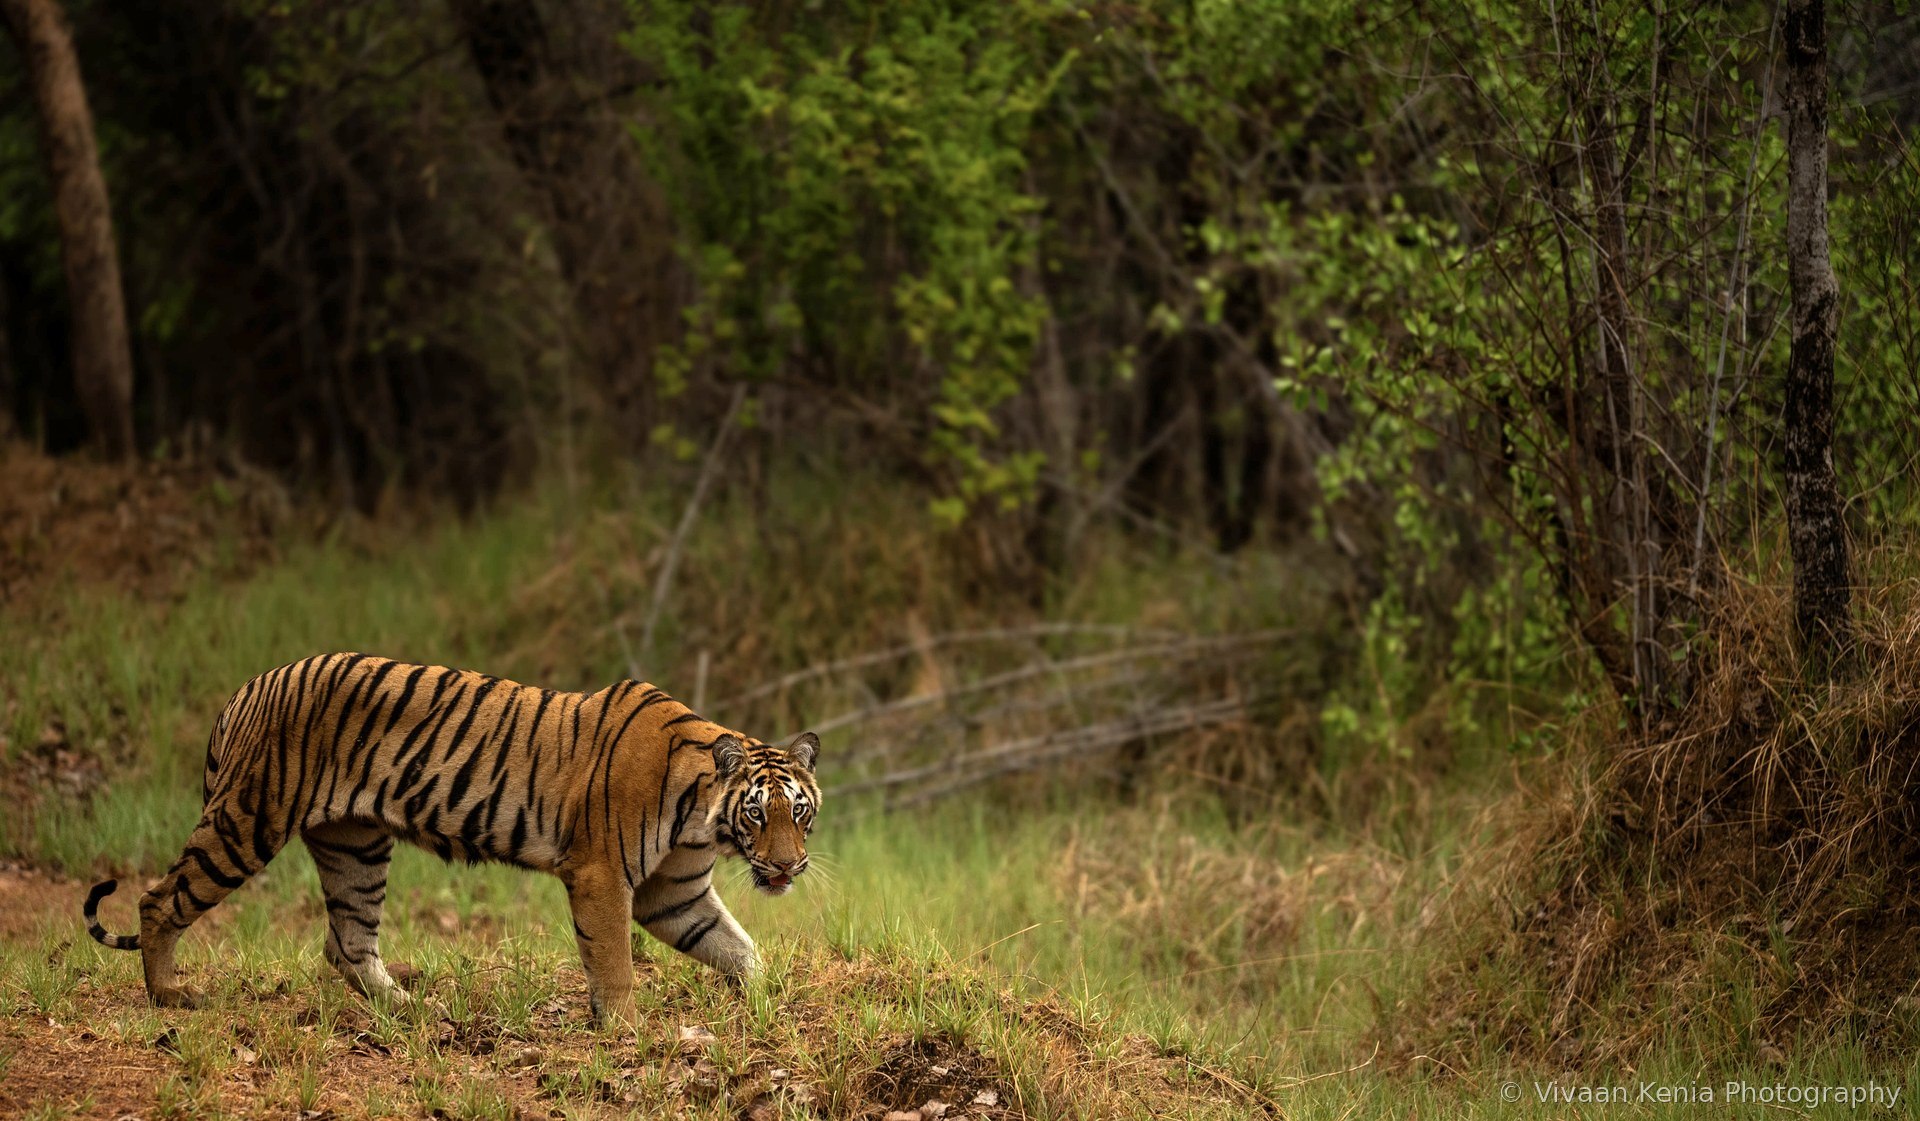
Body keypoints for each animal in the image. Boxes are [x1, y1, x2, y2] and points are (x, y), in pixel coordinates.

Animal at [80, 652, 821, 1026]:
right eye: (758, 814)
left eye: (801, 811)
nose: (789, 867)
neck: (705, 820)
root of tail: (246, 689)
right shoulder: (602, 875)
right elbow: (613, 962)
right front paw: (626, 1030)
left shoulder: (674, 892)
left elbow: (738, 947)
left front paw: (766, 1002)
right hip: (248, 819)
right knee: (158, 898)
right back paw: (168, 996)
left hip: (355, 845)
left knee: (347, 943)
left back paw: (413, 1011)